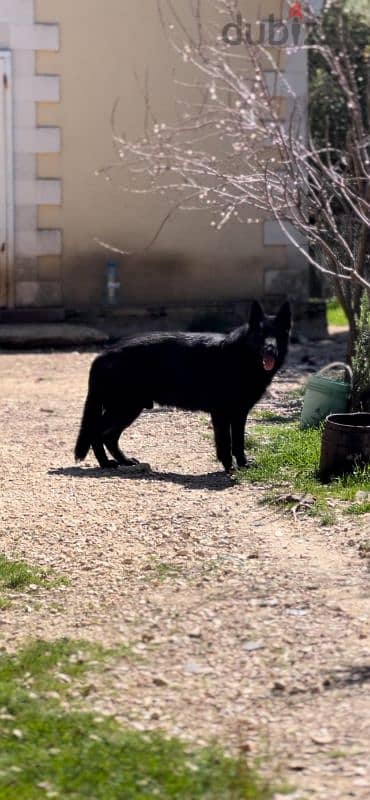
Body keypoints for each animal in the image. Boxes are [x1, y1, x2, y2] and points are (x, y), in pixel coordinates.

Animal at [74, 304, 290, 472]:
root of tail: (101, 356)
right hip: (124, 408)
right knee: (97, 432)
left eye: (277, 335)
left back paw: (124, 461)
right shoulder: (221, 414)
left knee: (109, 436)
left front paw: (243, 465)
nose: (270, 350)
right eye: (261, 335)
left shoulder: (239, 415)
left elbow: (238, 443)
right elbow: (225, 443)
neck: (241, 357)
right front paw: (229, 467)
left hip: (129, 410)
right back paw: (105, 463)